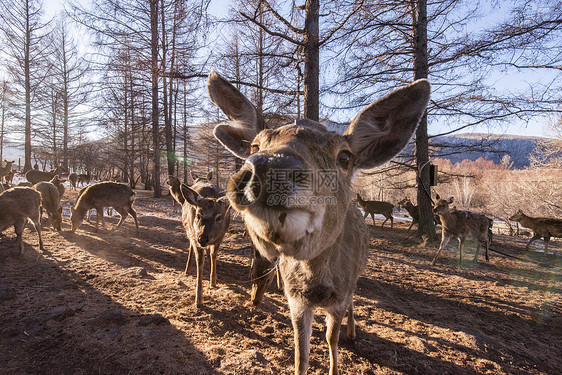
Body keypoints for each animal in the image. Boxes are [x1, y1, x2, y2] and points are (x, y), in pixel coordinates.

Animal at [180, 175, 231, 306]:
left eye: (219, 217)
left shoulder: (220, 236)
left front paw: (213, 281)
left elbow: (213, 254)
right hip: (189, 231)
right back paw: (187, 270)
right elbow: (199, 260)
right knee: (191, 247)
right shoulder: (194, 235)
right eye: (198, 215)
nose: (202, 238)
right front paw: (198, 300)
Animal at [206, 70, 428, 375]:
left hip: (355, 277)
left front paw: (338, 356)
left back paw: (353, 332)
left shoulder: (339, 295)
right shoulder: (296, 299)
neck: (316, 283)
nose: (270, 167)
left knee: (354, 303)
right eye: (254, 145)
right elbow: (301, 353)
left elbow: (331, 339)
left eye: (345, 157)